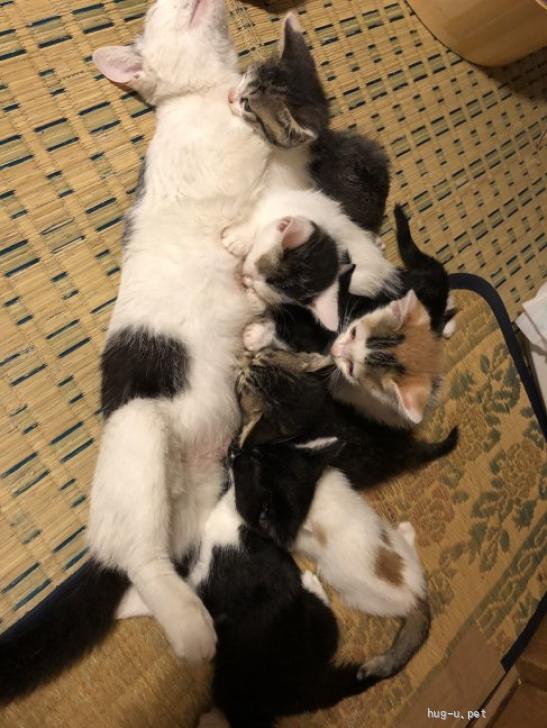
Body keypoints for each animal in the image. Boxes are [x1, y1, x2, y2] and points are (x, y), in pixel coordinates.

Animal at [0, 0, 273, 703]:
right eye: (156, 12)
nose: (171, 1)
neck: (198, 95)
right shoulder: (216, 150)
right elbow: (251, 137)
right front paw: (251, 93)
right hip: (143, 437)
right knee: (143, 563)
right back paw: (194, 634)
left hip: (200, 498)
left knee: (149, 581)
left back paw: (186, 613)